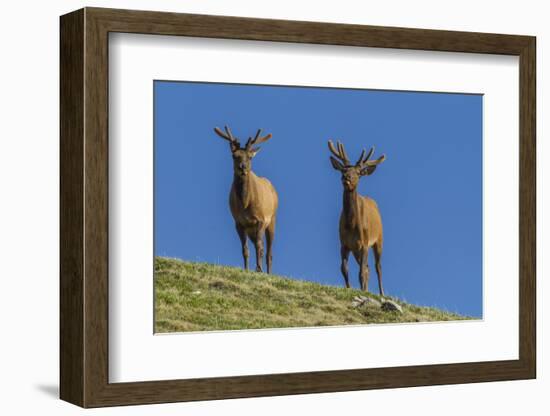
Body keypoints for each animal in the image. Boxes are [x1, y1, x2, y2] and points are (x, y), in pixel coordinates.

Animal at [212, 125, 278, 274]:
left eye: (250, 157)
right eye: (234, 156)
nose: (242, 167)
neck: (245, 204)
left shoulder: (260, 219)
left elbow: (259, 246)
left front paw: (258, 268)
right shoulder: (239, 223)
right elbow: (245, 249)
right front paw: (247, 269)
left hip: (272, 220)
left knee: (268, 252)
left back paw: (268, 272)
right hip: (251, 230)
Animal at [328, 141, 388, 296]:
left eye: (358, 173)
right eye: (343, 170)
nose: (346, 178)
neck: (352, 225)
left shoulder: (364, 243)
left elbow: (361, 272)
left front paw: (361, 291)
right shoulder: (344, 244)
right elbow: (344, 269)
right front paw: (349, 288)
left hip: (379, 239)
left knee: (377, 267)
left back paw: (381, 293)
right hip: (356, 250)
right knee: (368, 268)